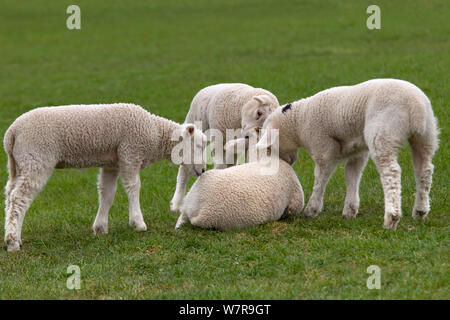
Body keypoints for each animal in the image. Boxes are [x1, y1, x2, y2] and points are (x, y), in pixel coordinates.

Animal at [3, 104, 207, 251]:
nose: (204, 170)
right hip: (36, 158)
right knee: (19, 198)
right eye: (198, 146)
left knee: (9, 196)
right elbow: (134, 187)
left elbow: (107, 193)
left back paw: (13, 237)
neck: (155, 134)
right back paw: (12, 242)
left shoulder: (111, 163)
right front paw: (138, 222)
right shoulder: (130, 152)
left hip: (19, 164)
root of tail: (12, 133)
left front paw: (100, 227)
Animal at [171, 83, 280, 212]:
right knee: (183, 170)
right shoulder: (218, 136)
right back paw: (176, 203)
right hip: (196, 120)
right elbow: (220, 165)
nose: (247, 135)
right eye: (259, 113)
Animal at [258, 79, 438, 231]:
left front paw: (312, 209)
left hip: (383, 133)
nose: (287, 162)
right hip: (426, 137)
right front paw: (350, 210)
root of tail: (416, 106)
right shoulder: (357, 152)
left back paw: (391, 218)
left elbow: (320, 179)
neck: (299, 121)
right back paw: (420, 211)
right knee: (424, 171)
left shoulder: (322, 149)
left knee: (391, 173)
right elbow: (352, 176)